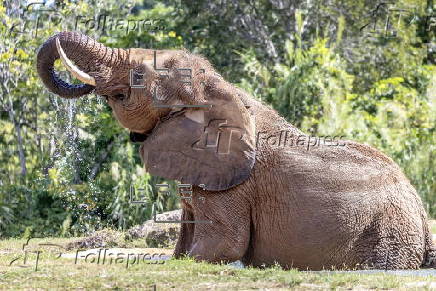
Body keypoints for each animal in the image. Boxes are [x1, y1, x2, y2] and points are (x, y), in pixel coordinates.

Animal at [36, 32, 436, 272]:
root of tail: (418, 207)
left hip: (385, 232)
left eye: (138, 76)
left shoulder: (235, 188)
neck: (216, 89)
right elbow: (182, 245)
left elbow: (219, 247)